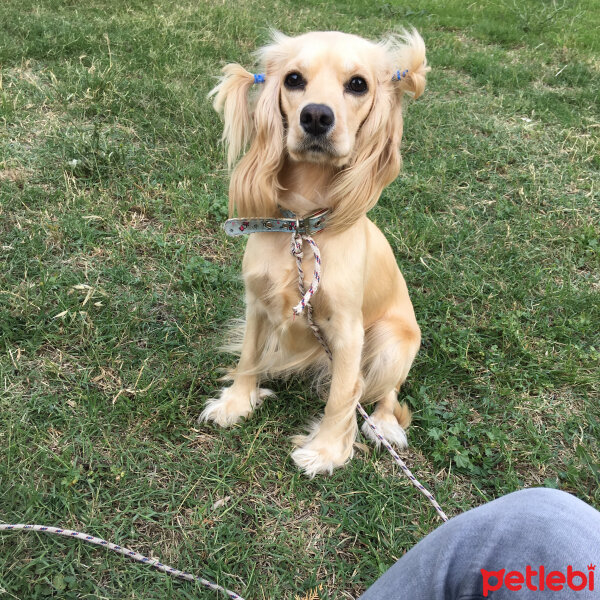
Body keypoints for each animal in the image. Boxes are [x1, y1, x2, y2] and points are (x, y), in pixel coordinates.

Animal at [200, 29, 426, 478]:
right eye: (293, 79)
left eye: (358, 84)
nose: (317, 117)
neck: (302, 228)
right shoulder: (257, 302)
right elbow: (249, 354)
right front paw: (236, 402)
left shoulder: (347, 328)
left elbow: (343, 393)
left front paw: (325, 451)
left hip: (394, 340)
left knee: (386, 392)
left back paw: (384, 425)